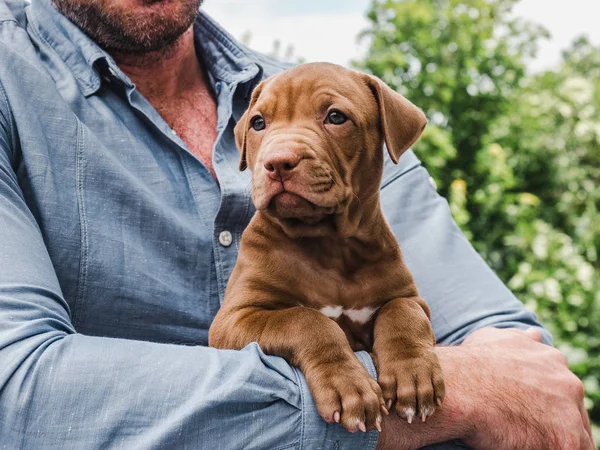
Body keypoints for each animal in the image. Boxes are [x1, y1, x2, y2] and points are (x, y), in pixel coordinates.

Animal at [209, 62, 442, 432]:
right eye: (258, 123)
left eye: (335, 117)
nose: (278, 162)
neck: (330, 243)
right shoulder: (234, 318)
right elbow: (307, 320)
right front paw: (349, 386)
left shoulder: (409, 297)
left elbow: (403, 313)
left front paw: (413, 375)